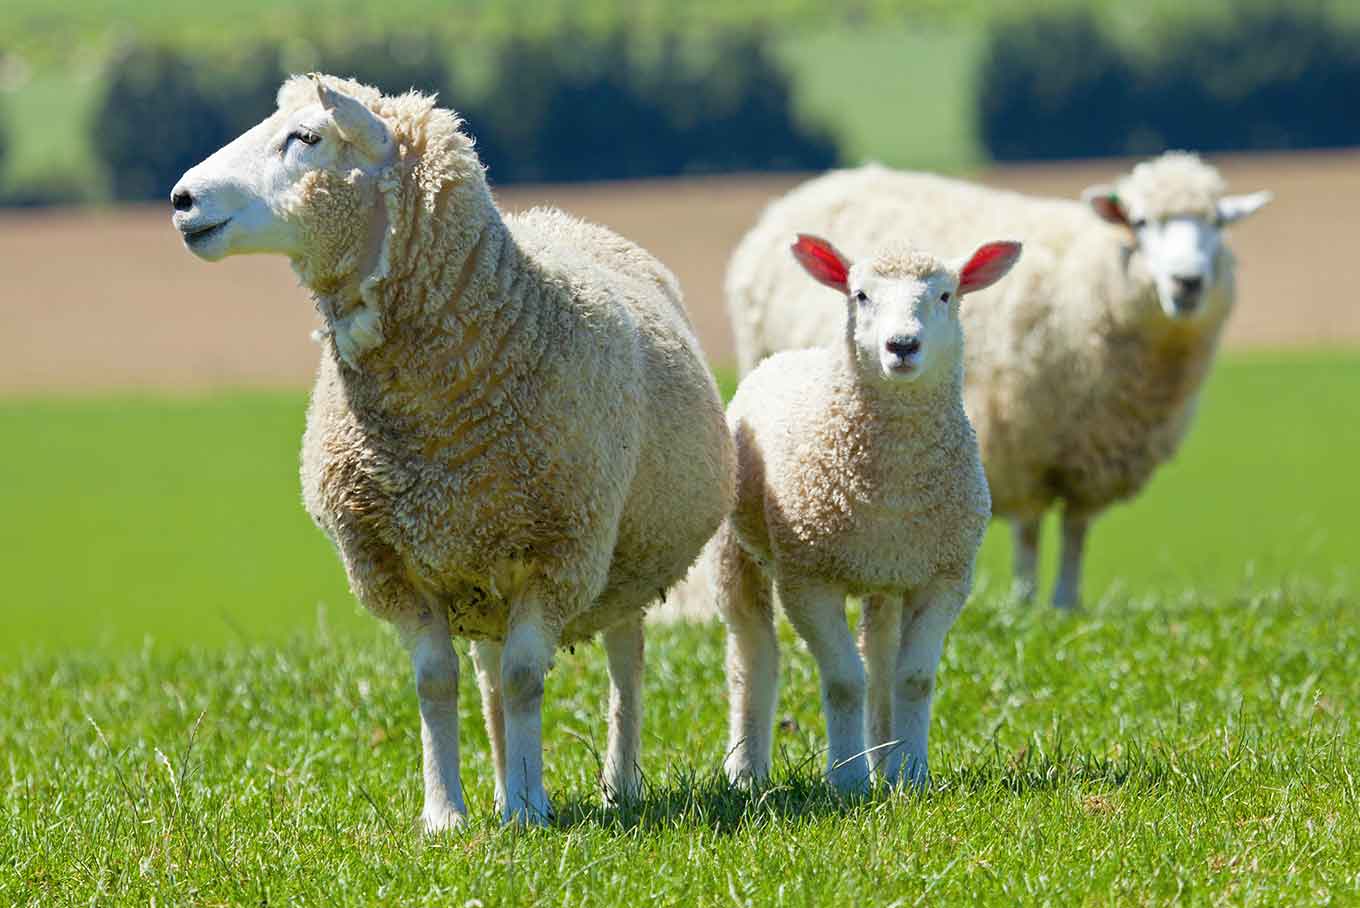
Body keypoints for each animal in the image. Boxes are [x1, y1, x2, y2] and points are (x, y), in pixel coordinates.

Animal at [169, 74, 735, 829]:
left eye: (306, 138)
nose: (182, 199)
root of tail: (560, 216)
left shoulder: (560, 552)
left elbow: (527, 680)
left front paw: (529, 810)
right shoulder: (390, 564)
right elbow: (437, 683)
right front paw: (447, 814)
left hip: (622, 558)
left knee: (624, 665)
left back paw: (616, 783)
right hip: (484, 563)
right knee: (491, 679)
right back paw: (499, 785)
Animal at [715, 233, 1018, 791]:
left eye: (945, 295)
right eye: (860, 295)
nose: (902, 345)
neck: (893, 479)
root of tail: (790, 355)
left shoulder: (944, 576)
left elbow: (913, 678)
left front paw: (912, 774)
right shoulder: (807, 580)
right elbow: (843, 680)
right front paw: (848, 780)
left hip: (886, 574)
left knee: (878, 656)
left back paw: (885, 761)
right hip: (737, 550)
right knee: (752, 651)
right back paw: (747, 772)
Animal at [726, 153, 1271, 609]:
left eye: (1218, 224)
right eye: (1140, 223)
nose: (1188, 283)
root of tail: (821, 184)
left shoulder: (1093, 450)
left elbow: (1076, 530)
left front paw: (1067, 602)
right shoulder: (1018, 437)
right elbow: (1028, 529)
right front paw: (1027, 603)